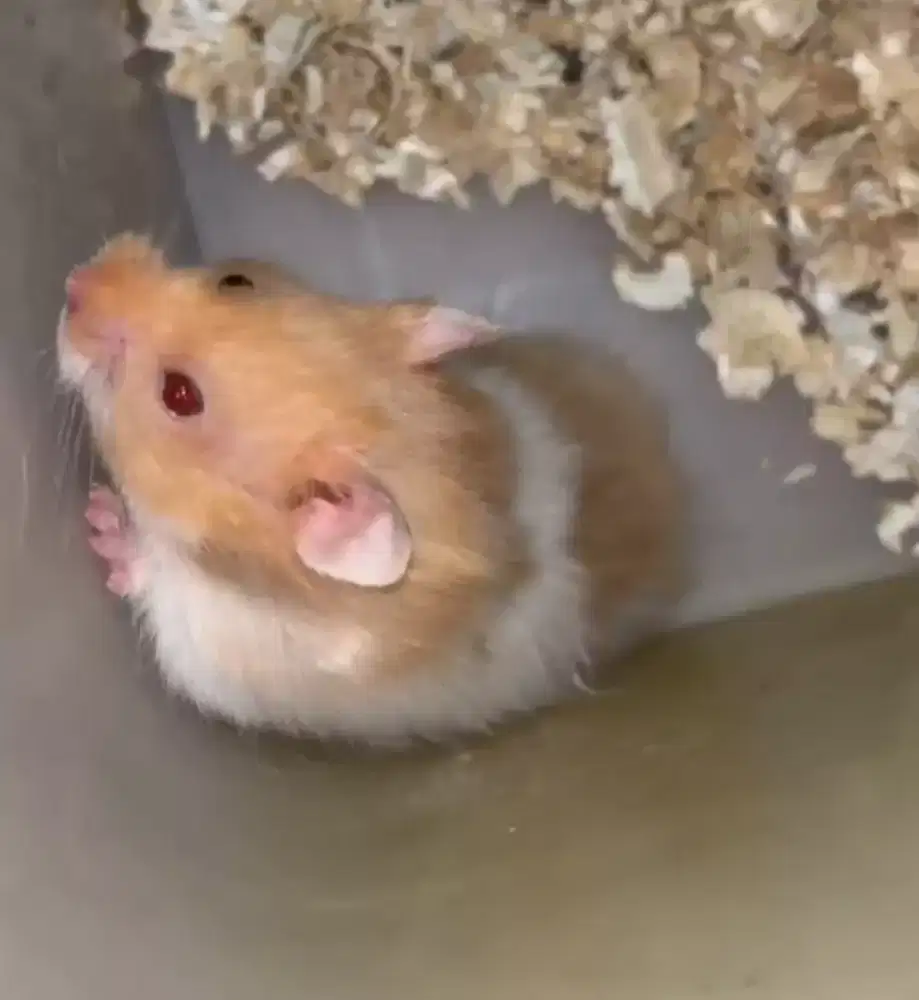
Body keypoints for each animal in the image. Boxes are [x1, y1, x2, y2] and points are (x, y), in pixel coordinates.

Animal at [57, 233, 685, 744]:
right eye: (236, 280)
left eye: (180, 395)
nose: (73, 284)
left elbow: (153, 573)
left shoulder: (207, 634)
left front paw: (103, 520)